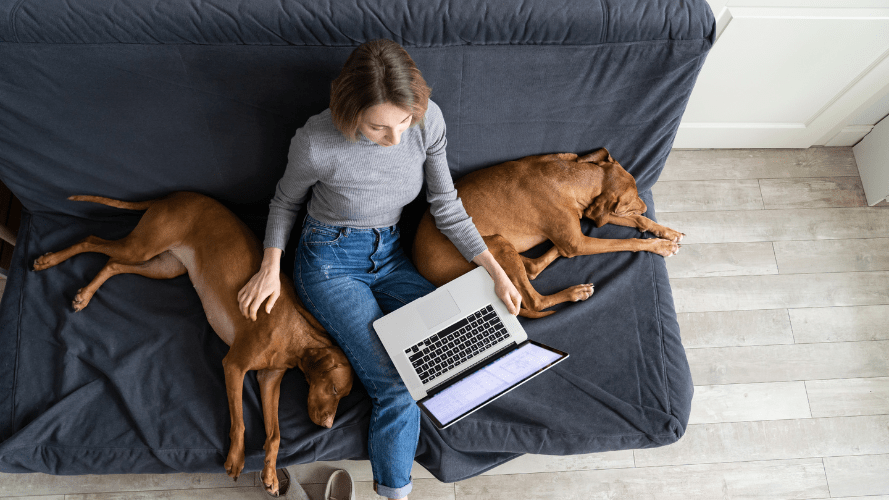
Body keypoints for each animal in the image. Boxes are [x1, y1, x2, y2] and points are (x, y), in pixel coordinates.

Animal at [34, 191, 354, 496]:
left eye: (343, 396)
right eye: (334, 389)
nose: (327, 426)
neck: (293, 336)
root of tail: (174, 196)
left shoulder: (268, 380)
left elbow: (275, 435)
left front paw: (271, 475)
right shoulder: (234, 366)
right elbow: (239, 421)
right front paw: (236, 458)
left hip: (164, 265)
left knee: (113, 265)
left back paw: (85, 295)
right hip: (143, 246)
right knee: (92, 240)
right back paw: (50, 261)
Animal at [412, 148, 684, 318]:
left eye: (638, 192)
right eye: (633, 198)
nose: (647, 205)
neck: (571, 177)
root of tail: (424, 271)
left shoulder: (590, 216)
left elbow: (634, 220)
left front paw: (666, 231)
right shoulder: (579, 240)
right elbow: (624, 242)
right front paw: (659, 245)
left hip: (507, 246)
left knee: (533, 268)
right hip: (496, 244)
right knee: (534, 300)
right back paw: (574, 292)